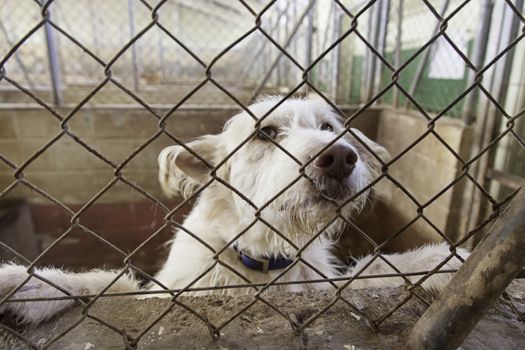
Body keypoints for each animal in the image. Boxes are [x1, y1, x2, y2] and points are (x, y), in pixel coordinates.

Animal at [0, 96, 466, 326]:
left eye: (328, 128)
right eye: (266, 133)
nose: (340, 158)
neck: (263, 257)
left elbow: (370, 274)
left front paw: (436, 262)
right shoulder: (168, 292)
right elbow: (112, 284)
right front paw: (33, 285)